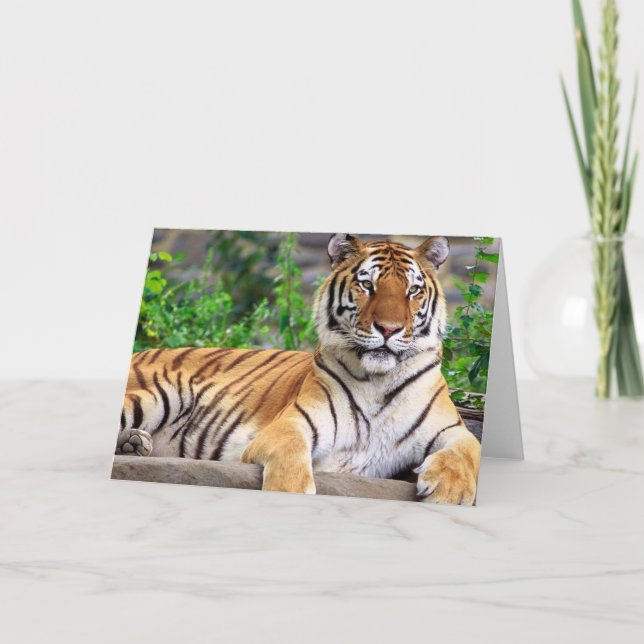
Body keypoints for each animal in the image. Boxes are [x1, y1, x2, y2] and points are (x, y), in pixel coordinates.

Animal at [115, 234, 481, 505]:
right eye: (367, 285)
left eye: (412, 291)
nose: (389, 329)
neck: (378, 380)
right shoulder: (291, 424)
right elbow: (292, 458)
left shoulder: (452, 428)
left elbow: (468, 450)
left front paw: (449, 492)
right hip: (158, 395)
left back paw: (134, 443)